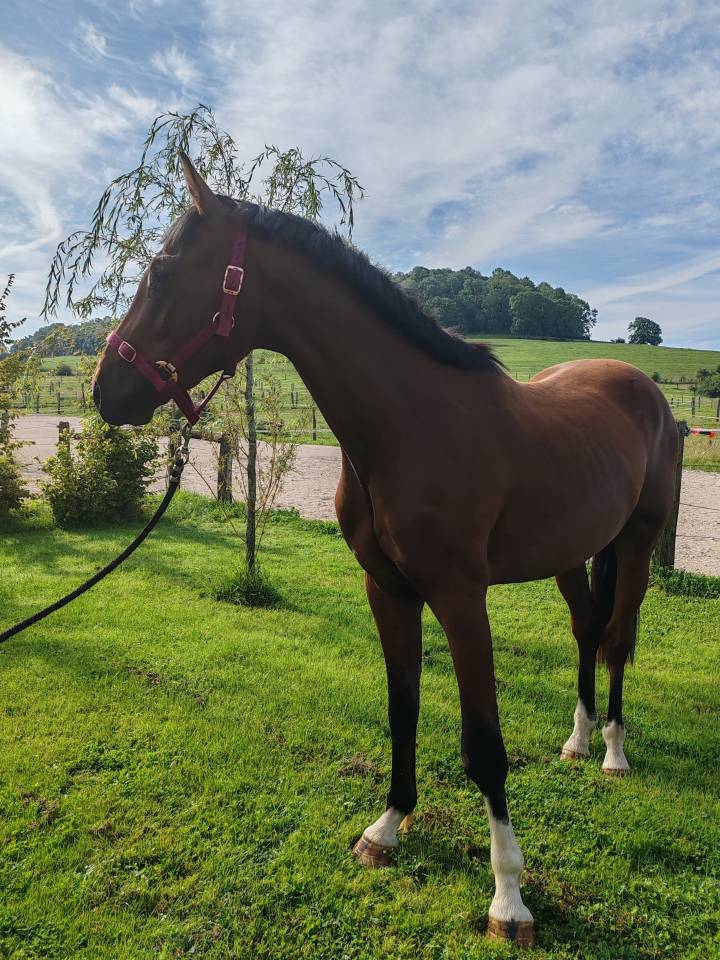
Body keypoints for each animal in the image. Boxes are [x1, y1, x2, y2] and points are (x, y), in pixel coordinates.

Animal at [93, 154, 678, 946]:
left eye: (161, 273)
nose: (106, 390)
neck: (407, 423)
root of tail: (640, 386)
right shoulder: (388, 590)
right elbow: (403, 710)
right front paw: (387, 827)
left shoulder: (461, 600)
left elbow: (484, 747)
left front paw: (508, 900)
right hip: (570, 552)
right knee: (588, 627)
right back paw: (580, 741)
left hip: (638, 543)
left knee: (618, 636)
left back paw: (613, 751)